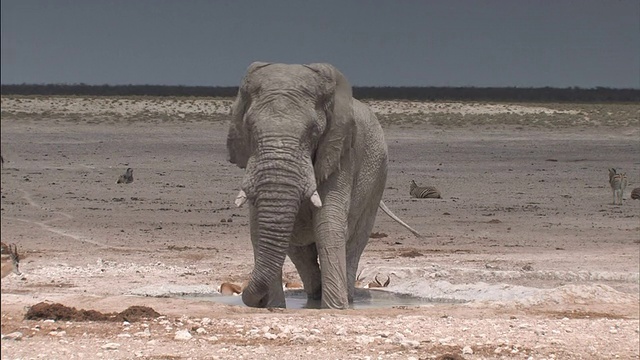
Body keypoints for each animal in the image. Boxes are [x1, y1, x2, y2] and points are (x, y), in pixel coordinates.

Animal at [226, 62, 420, 310]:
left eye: (313, 131)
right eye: (249, 128)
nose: (257, 301)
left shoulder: (340, 151)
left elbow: (329, 223)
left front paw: (335, 308)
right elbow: (258, 227)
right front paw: (276, 306)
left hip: (378, 177)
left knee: (355, 241)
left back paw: (346, 298)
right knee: (299, 250)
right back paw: (314, 295)